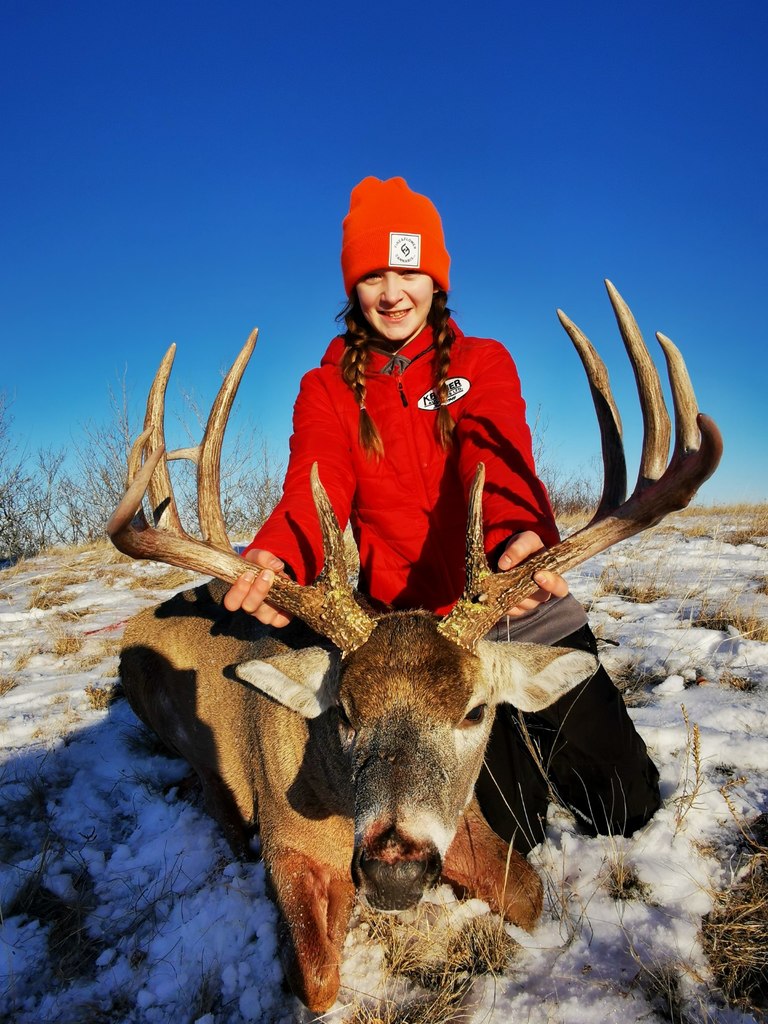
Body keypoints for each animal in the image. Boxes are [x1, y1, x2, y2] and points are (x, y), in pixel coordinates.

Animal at [107, 282, 720, 1015]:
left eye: (475, 711)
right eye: (342, 712)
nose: (392, 870)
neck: (333, 794)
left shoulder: (468, 819)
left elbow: (529, 895)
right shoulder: (290, 842)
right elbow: (317, 981)